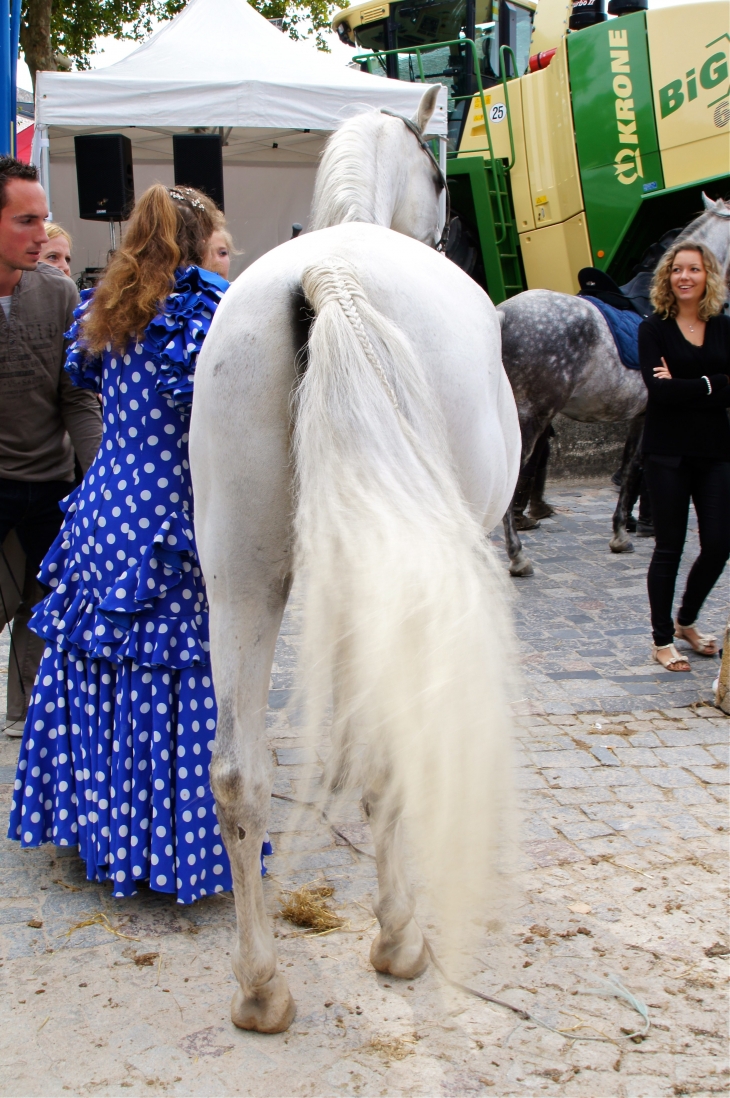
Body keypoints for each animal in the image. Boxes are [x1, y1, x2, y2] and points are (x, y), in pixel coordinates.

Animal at [187, 87, 518, 1036]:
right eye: (442, 176)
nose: (446, 232)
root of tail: (325, 276)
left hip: (239, 578)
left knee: (238, 773)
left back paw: (261, 988)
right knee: (387, 748)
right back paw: (399, 939)